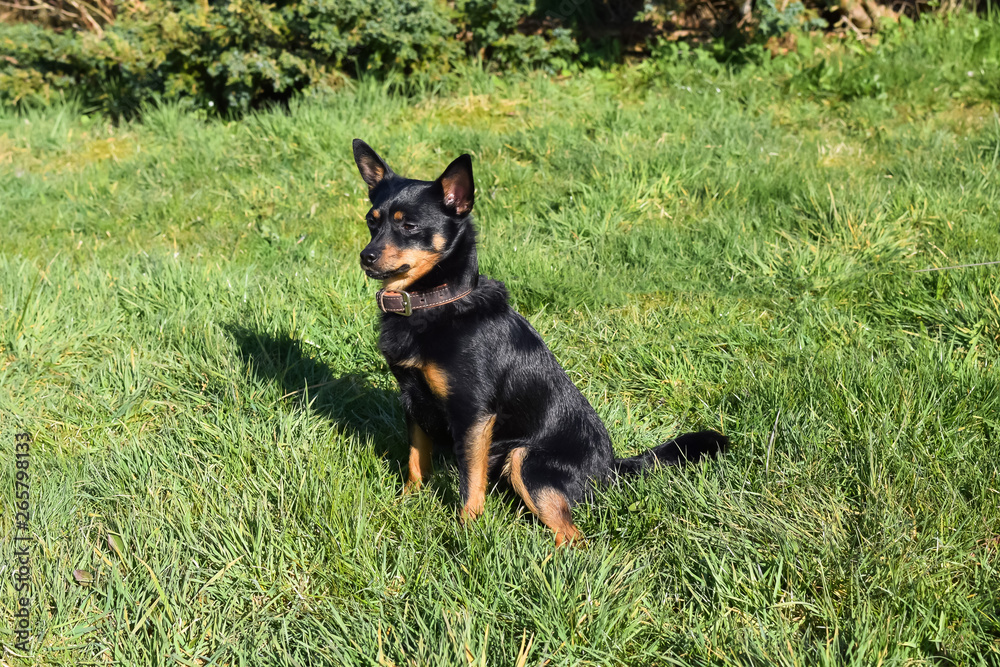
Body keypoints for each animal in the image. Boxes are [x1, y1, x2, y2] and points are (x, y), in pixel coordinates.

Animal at [352, 138, 728, 544]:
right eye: (372, 221)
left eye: (410, 226)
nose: (366, 256)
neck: (437, 300)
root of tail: (610, 467)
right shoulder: (413, 399)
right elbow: (416, 461)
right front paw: (406, 502)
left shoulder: (472, 414)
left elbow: (470, 481)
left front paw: (467, 530)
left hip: (526, 460)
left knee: (573, 536)